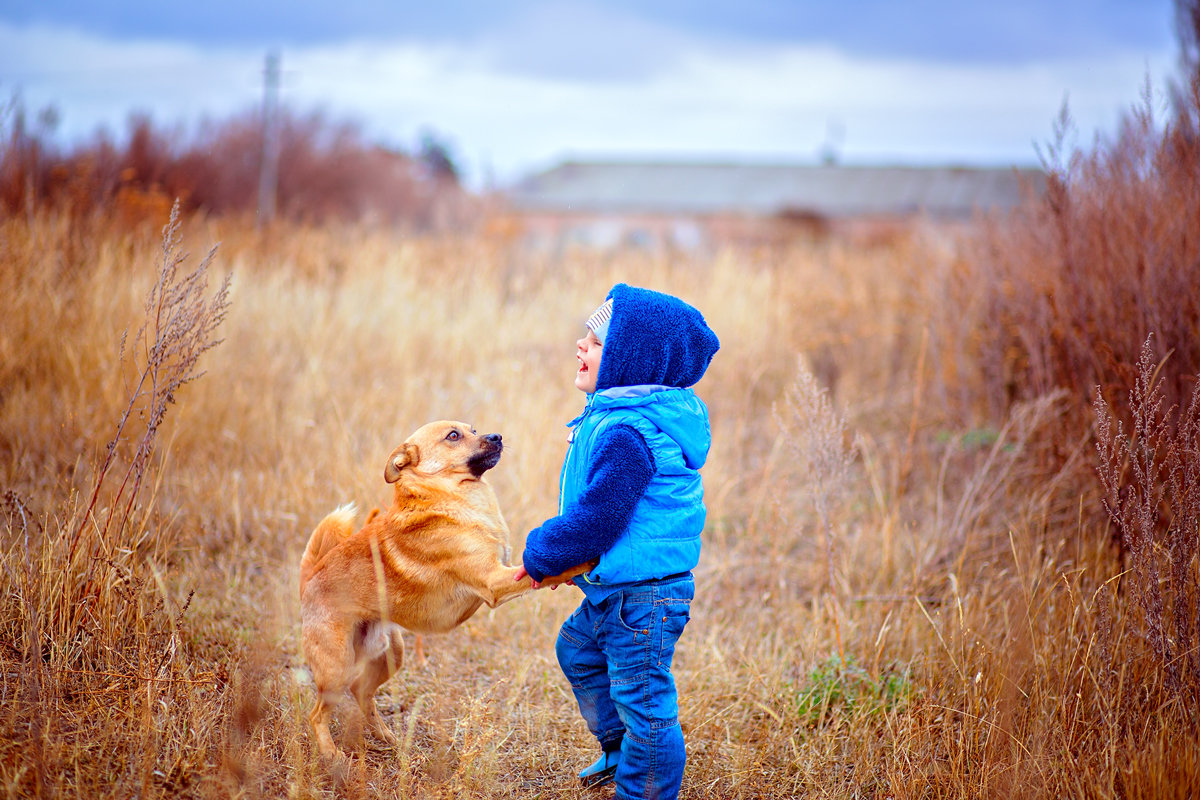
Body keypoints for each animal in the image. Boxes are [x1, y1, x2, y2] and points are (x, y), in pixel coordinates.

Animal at [300, 422, 590, 762]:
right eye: (453, 436)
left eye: (473, 430)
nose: (497, 437)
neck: (452, 496)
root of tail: (308, 579)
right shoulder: (494, 580)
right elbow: (548, 572)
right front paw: (587, 561)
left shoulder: (503, 568)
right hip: (337, 668)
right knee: (317, 714)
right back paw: (331, 755)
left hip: (392, 653)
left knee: (362, 693)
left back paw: (386, 736)